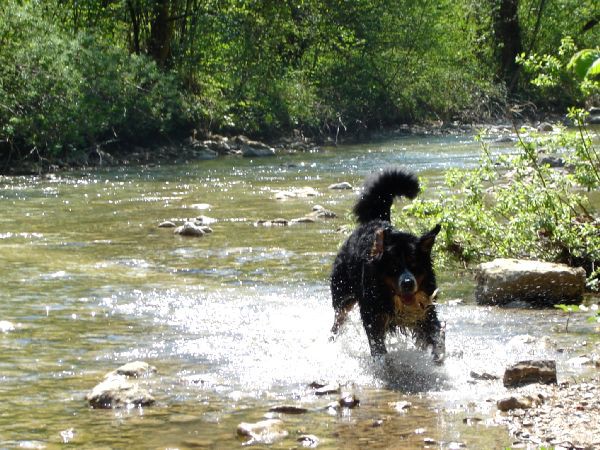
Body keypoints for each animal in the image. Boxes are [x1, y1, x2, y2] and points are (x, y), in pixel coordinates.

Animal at [328, 168, 446, 362]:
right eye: (394, 267)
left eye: (414, 265)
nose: (408, 283)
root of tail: (375, 220)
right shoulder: (373, 316)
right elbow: (378, 347)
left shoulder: (425, 311)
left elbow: (436, 334)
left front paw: (439, 354)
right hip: (343, 295)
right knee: (338, 321)